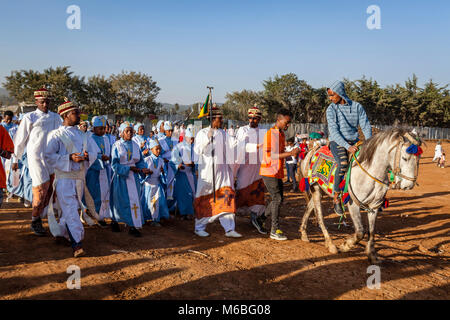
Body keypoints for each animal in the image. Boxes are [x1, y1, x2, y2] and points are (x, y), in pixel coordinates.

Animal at [298, 129, 422, 264]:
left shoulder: (374, 206)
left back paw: (304, 233)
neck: (370, 171)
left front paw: (372, 254)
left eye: (418, 158)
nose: (408, 185)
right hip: (315, 188)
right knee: (320, 216)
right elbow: (360, 232)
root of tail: (312, 151)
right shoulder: (354, 204)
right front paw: (345, 245)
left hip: (319, 190)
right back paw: (330, 244)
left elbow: (371, 231)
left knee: (310, 207)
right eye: (404, 158)